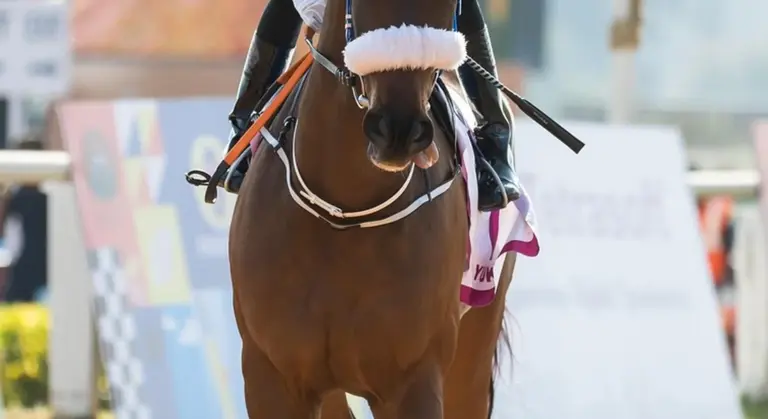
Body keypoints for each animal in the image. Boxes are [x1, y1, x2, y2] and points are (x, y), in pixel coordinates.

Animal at [221, 0, 538, 416]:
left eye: (448, 6)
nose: (398, 131)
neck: (342, 212)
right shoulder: (272, 375)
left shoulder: (413, 379)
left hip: (475, 340)